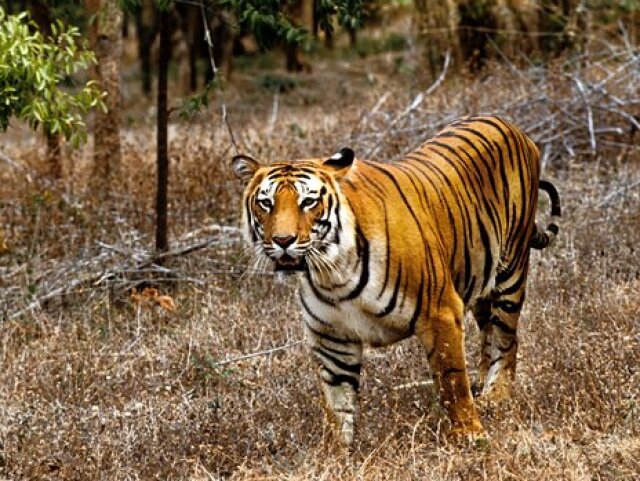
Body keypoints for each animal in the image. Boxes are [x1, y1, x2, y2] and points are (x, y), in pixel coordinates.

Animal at [231, 115, 561, 446]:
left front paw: (470, 436)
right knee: (489, 336)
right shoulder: (331, 338)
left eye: (308, 202)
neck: (333, 272)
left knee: (507, 339)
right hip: (480, 280)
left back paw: (496, 397)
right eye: (266, 203)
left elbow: (452, 380)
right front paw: (337, 453)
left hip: (511, 271)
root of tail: (508, 124)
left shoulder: (440, 312)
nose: (283, 240)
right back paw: (483, 389)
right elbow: (337, 405)